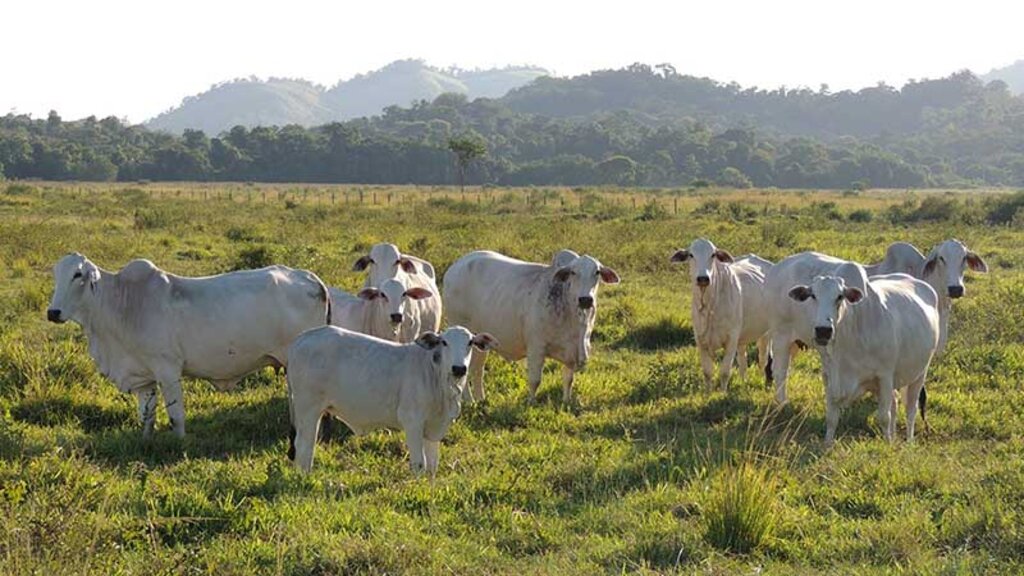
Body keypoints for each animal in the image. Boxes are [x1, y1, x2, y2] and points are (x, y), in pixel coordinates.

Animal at [48, 251, 329, 434]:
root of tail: (311, 279)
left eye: (77, 274)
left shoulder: (168, 370)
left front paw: (179, 443)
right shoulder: (143, 378)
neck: (125, 303)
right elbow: (147, 417)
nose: (53, 312)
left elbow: (176, 418)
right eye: (56, 275)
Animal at [286, 325, 497, 473]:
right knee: (304, 446)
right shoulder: (412, 421)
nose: (459, 368)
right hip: (308, 410)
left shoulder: (435, 427)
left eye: (470, 343)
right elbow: (419, 464)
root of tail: (302, 338)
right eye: (444, 342)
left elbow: (432, 465)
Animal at [444, 249, 618, 401]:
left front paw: (566, 401)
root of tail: (455, 267)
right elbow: (535, 380)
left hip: (479, 343)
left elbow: (568, 380)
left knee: (477, 370)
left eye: (597, 272)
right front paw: (531, 402)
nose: (585, 299)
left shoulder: (571, 351)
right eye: (573, 272)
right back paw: (469, 400)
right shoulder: (536, 347)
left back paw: (480, 400)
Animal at [667, 235, 770, 387]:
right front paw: (709, 391)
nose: (703, 278)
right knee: (743, 359)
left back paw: (761, 380)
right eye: (691, 255)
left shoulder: (731, 339)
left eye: (713, 255)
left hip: (766, 334)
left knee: (763, 359)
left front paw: (722, 391)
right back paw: (743, 381)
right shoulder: (701, 340)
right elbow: (707, 372)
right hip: (742, 337)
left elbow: (724, 372)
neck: (710, 306)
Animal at [786, 262, 937, 440]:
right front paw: (827, 443)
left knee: (910, 410)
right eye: (813, 295)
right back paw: (893, 438)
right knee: (894, 404)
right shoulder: (829, 377)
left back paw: (908, 441)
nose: (823, 331)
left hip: (920, 373)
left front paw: (887, 444)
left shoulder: (885, 376)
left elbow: (884, 417)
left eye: (840, 296)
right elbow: (831, 418)